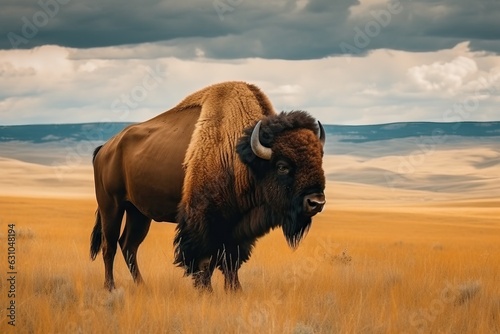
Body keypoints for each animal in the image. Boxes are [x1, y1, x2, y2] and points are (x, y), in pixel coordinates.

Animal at [90, 81, 326, 292]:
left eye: (319, 160)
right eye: (282, 166)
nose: (316, 202)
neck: (240, 157)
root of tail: (106, 148)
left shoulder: (237, 226)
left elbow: (231, 261)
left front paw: (235, 291)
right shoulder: (203, 221)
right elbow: (205, 261)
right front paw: (206, 291)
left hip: (138, 212)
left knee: (129, 245)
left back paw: (142, 286)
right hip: (111, 207)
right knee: (110, 246)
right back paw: (110, 287)